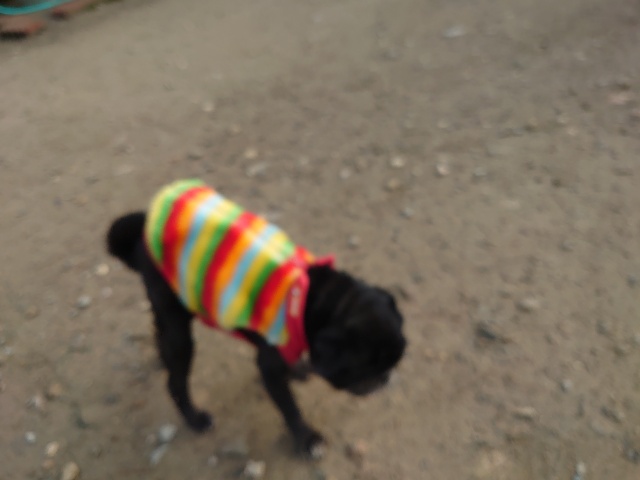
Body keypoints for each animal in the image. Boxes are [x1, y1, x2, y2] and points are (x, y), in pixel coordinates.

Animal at [106, 179, 406, 457]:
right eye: (364, 369)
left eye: (392, 362)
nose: (386, 378)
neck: (309, 299)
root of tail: (143, 228)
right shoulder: (269, 367)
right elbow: (290, 408)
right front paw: (307, 439)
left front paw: (298, 370)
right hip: (178, 326)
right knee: (176, 378)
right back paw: (195, 418)